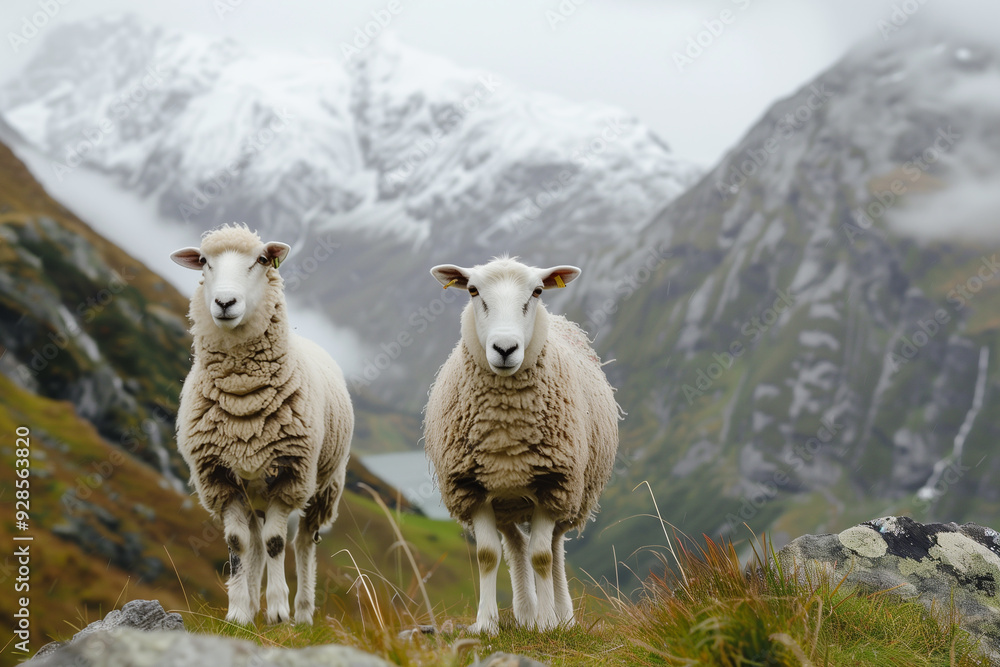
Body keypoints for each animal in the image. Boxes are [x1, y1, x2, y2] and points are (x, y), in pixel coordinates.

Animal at [170, 224, 353, 626]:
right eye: (203, 261)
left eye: (260, 260)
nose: (224, 302)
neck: (244, 399)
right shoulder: (219, 478)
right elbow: (238, 544)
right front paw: (239, 613)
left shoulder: (290, 475)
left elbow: (275, 542)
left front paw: (279, 611)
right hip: (252, 489)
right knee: (253, 540)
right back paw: (253, 603)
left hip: (324, 485)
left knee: (302, 540)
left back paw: (303, 613)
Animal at [423, 256, 620, 634]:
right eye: (473, 291)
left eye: (538, 292)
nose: (504, 349)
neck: (506, 425)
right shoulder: (472, 488)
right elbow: (487, 555)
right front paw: (486, 625)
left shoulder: (552, 484)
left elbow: (542, 556)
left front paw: (547, 624)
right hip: (506, 502)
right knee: (515, 546)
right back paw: (526, 612)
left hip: (570, 497)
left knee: (553, 548)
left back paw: (561, 616)